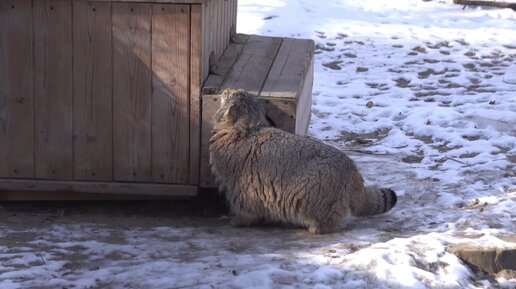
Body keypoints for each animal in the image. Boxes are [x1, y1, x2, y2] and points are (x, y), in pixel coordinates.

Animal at [208, 89, 398, 233]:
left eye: (231, 94)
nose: (225, 89)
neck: (247, 125)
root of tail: (353, 171)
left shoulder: (239, 184)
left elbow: (243, 206)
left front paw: (239, 220)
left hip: (316, 200)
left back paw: (315, 227)